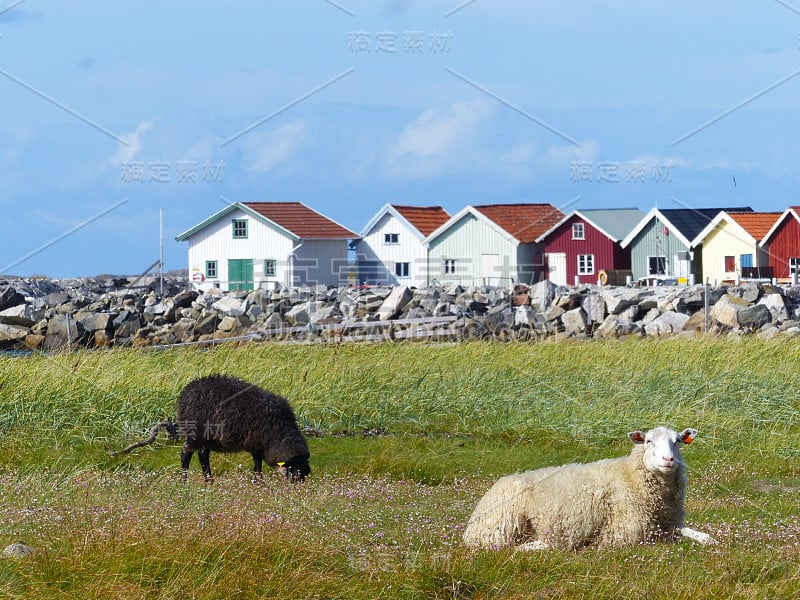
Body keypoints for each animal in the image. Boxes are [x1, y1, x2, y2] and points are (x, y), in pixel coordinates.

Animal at [114, 376, 310, 482]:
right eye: (295, 470)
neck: (279, 433)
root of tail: (186, 391)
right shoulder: (257, 444)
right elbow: (257, 464)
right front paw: (258, 482)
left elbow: (257, 464)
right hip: (195, 432)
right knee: (186, 454)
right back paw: (183, 480)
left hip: (206, 436)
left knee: (203, 456)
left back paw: (209, 480)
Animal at [460, 426, 716, 548]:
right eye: (649, 441)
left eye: (678, 441)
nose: (668, 460)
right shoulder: (628, 533)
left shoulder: (668, 523)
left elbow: (693, 533)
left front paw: (707, 539)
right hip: (503, 528)